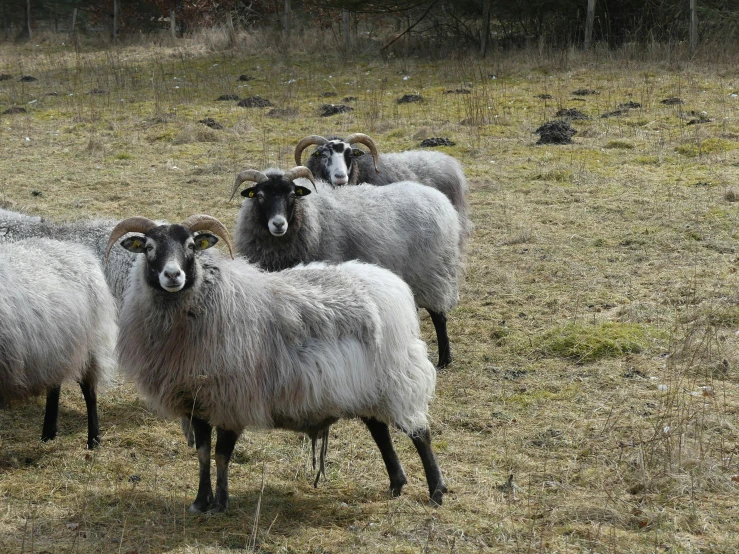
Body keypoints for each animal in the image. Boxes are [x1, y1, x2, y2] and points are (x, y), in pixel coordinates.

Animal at [0, 235, 117, 446]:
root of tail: (76, 249)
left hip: (90, 345)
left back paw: (93, 439)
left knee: (90, 391)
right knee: (55, 384)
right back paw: (49, 433)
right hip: (56, 349)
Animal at [107, 213, 448, 512]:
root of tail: (391, 283)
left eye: (191, 246)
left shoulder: (231, 399)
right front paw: (200, 502)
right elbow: (203, 455)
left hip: (398, 376)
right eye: (149, 248)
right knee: (380, 430)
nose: (173, 275)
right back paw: (396, 484)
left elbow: (221, 455)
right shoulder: (196, 400)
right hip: (367, 386)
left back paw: (436, 491)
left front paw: (220, 503)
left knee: (420, 433)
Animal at [231, 164, 462, 368]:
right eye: (260, 196)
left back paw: (445, 359)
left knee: (439, 316)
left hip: (433, 273)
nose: (278, 224)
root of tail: (441, 200)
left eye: (292, 195)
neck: (313, 216)